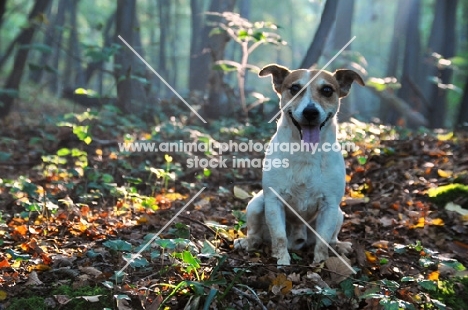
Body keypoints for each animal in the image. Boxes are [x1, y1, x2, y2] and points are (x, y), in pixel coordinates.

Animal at [234, 64, 366, 266]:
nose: (310, 112)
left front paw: (319, 263)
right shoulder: (273, 202)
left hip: (339, 214)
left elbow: (322, 241)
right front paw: (282, 260)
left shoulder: (330, 206)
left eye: (327, 90)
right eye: (294, 88)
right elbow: (279, 236)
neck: (306, 152)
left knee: (331, 238)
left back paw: (338, 246)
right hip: (255, 205)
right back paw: (248, 243)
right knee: (256, 234)